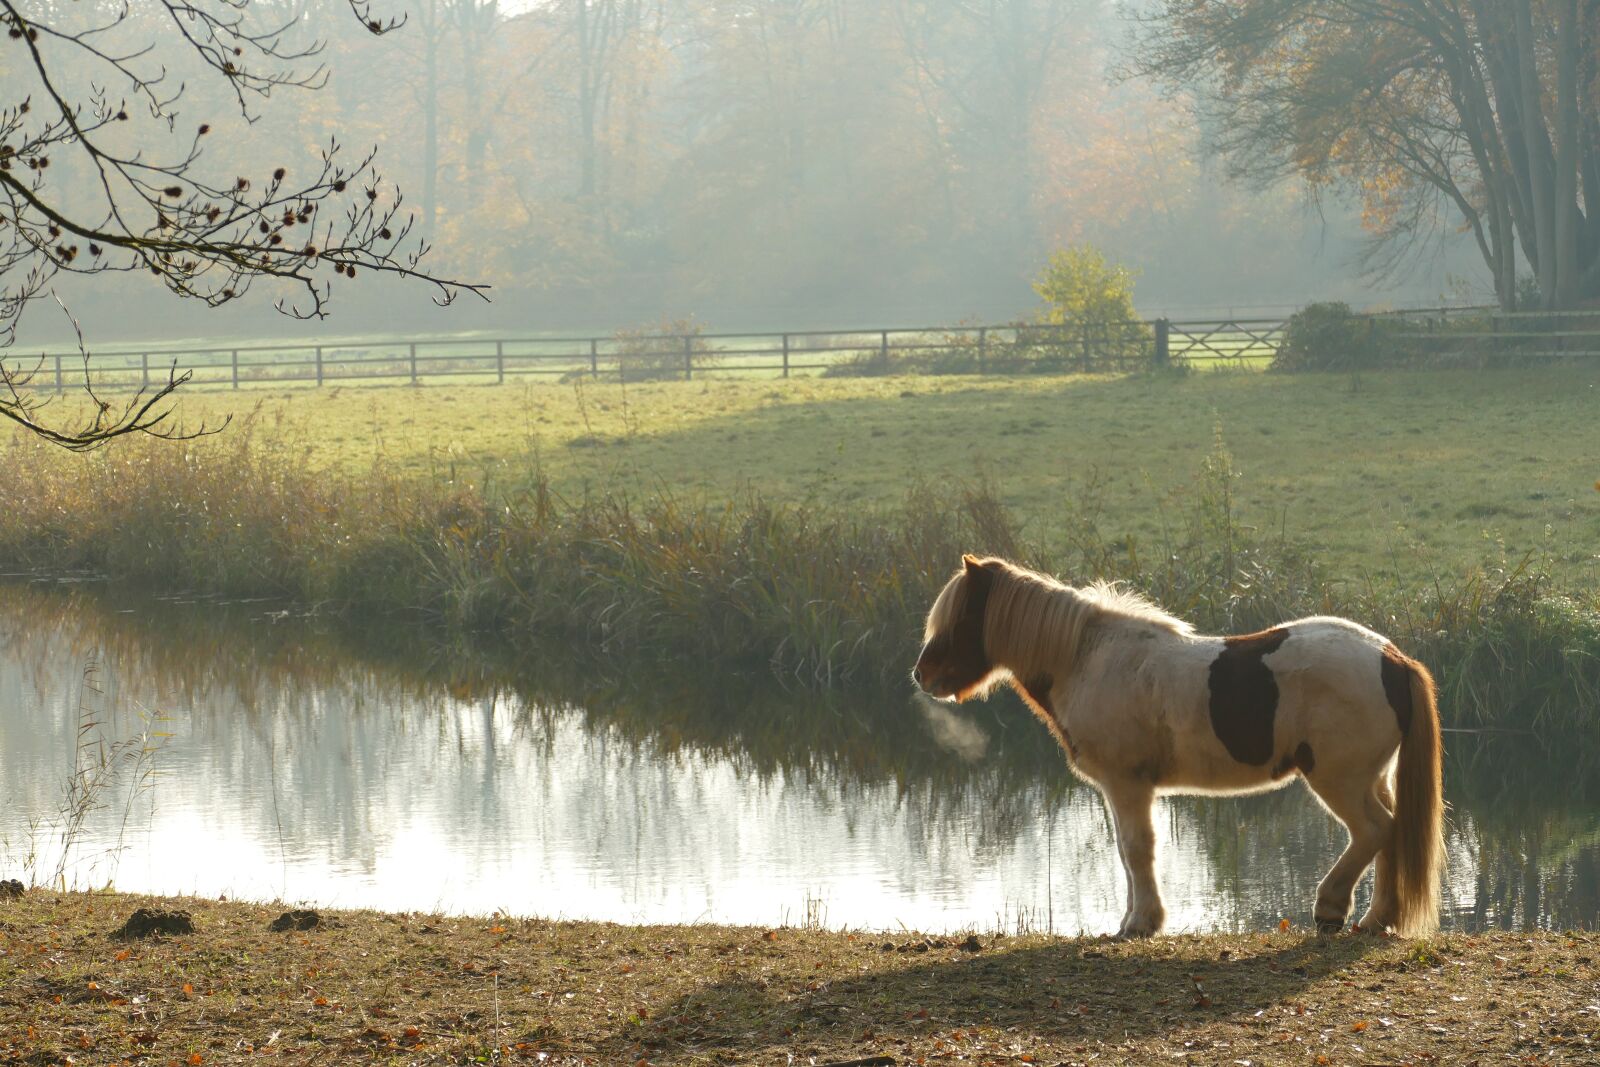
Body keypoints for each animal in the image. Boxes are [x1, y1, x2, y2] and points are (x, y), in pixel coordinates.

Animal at [913, 555, 1444, 938]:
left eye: (960, 619)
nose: (922, 676)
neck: (1088, 660)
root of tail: (1392, 659)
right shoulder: (1121, 790)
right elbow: (1127, 852)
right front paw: (1133, 920)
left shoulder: (1127, 785)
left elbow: (1137, 849)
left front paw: (1140, 924)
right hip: (1371, 777)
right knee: (1390, 835)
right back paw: (1376, 919)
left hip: (1340, 779)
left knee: (1374, 831)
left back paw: (1332, 908)